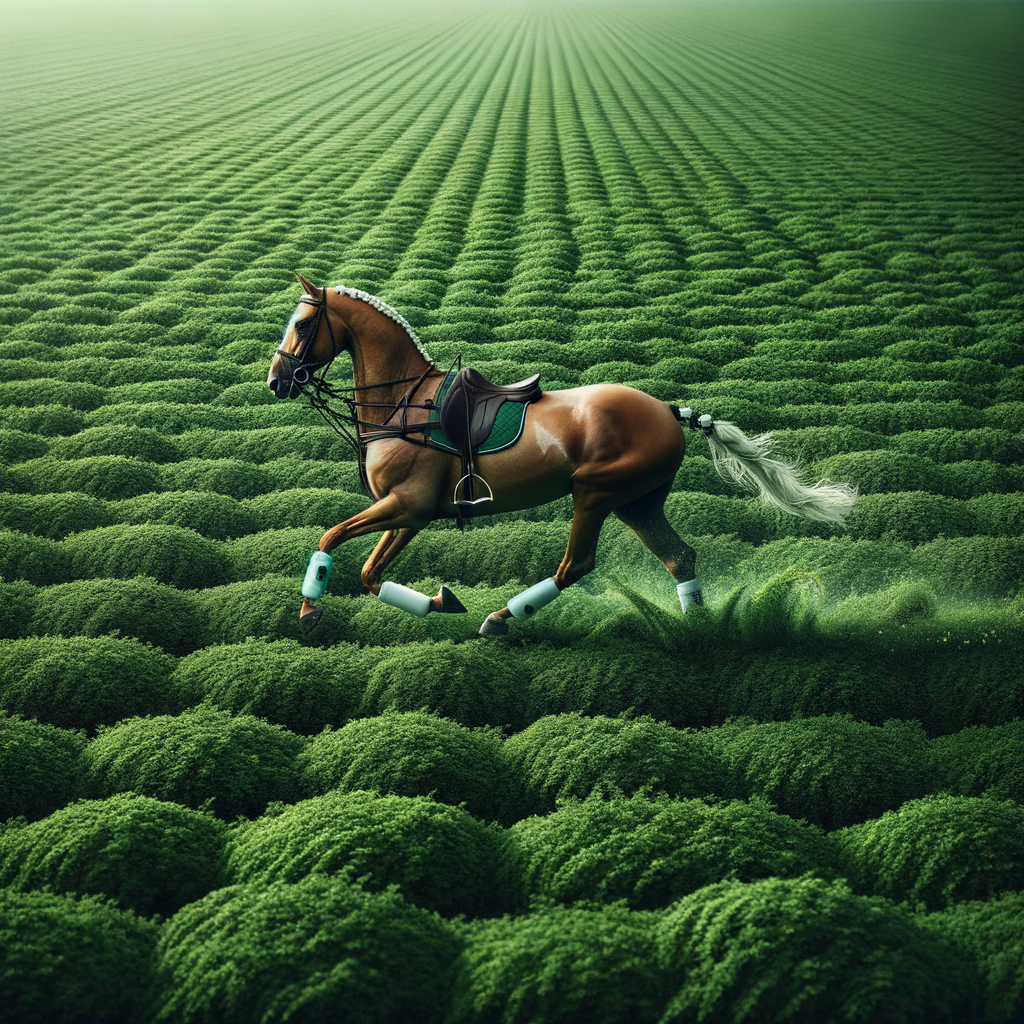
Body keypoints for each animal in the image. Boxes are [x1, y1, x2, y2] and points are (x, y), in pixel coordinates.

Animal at [267, 274, 857, 636]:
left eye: (303, 323)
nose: (277, 380)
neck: (403, 401)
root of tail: (668, 410)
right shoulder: (412, 512)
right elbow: (370, 574)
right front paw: (438, 601)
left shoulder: (407, 505)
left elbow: (331, 538)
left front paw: (309, 606)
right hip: (638, 502)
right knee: (680, 558)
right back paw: (698, 634)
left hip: (594, 492)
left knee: (577, 565)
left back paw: (501, 619)